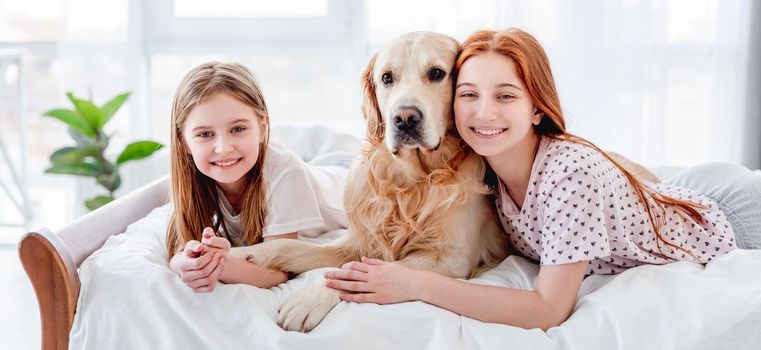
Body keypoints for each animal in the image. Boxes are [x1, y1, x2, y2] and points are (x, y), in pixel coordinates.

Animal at [229, 31, 508, 332]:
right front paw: (240, 254)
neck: (411, 183)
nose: (404, 119)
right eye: (386, 78)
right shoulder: (359, 242)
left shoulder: (451, 258)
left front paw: (309, 300)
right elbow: (294, 247)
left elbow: (361, 273)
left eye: (437, 73)